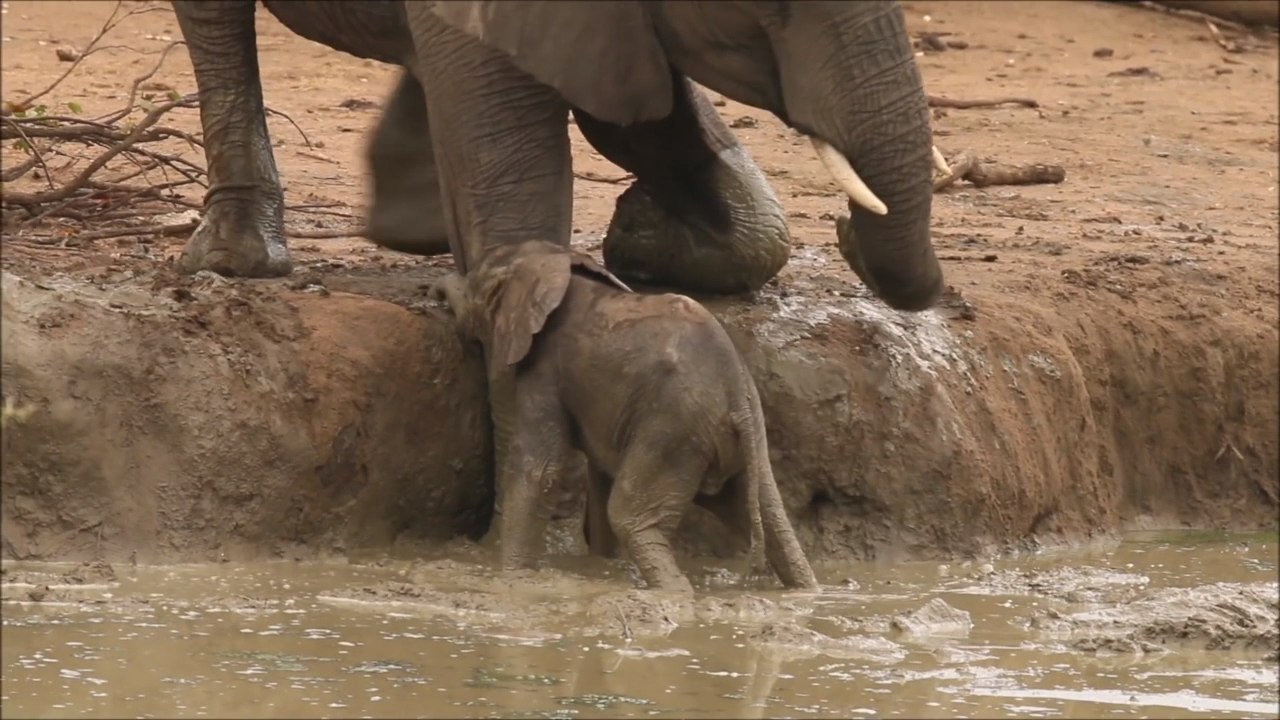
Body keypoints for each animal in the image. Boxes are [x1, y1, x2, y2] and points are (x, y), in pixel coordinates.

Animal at [427, 240, 821, 593]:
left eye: (475, 286)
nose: (435, 290)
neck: (556, 263)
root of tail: (737, 396)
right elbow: (599, 476)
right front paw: (602, 567)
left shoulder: (545, 370)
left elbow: (540, 469)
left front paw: (510, 579)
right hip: (740, 438)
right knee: (774, 520)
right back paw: (806, 590)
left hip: (674, 431)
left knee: (630, 516)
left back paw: (672, 595)